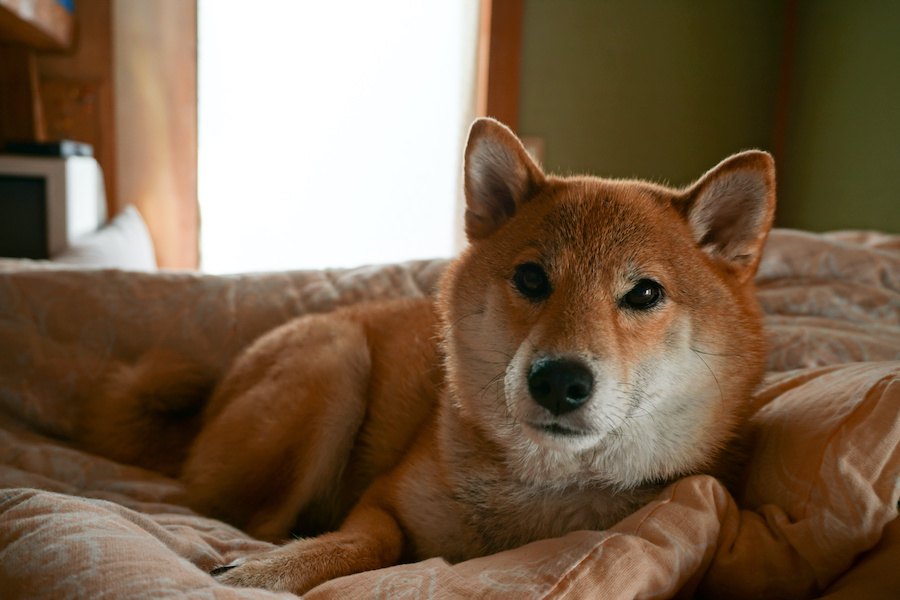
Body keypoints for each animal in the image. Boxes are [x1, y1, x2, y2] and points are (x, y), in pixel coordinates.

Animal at [81, 118, 776, 596]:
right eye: (531, 278)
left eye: (645, 293)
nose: (558, 381)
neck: (542, 494)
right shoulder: (381, 501)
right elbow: (372, 540)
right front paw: (271, 569)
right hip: (336, 367)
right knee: (246, 511)